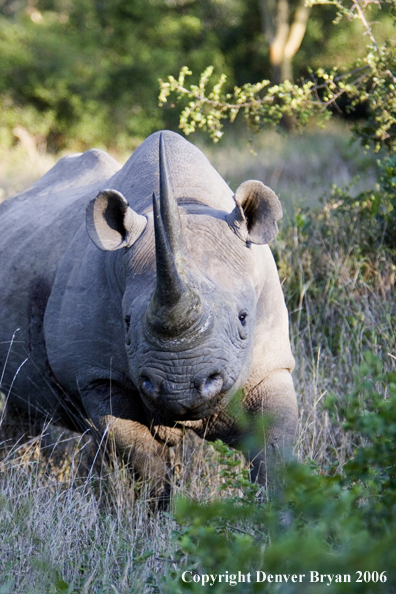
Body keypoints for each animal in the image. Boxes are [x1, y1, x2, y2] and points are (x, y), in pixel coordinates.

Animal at [0, 132, 296, 488]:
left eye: (243, 318)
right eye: (126, 323)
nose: (180, 388)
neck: (185, 203)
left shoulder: (271, 364)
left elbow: (274, 451)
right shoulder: (97, 375)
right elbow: (144, 462)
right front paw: (162, 504)